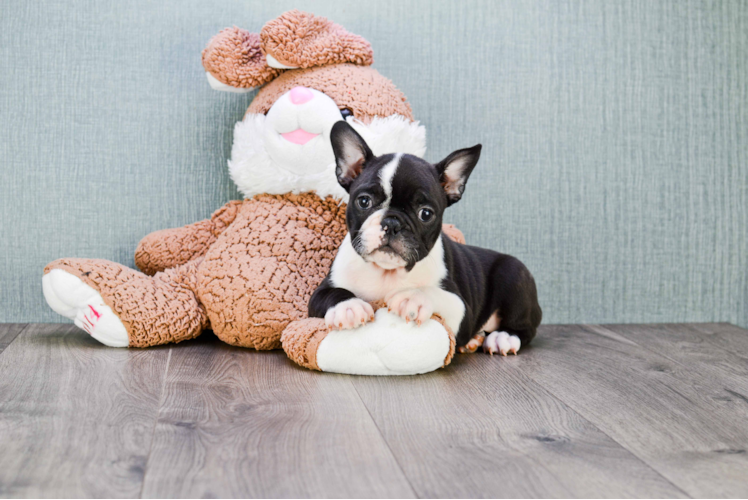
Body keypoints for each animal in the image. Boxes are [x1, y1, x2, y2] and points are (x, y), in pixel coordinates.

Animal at [306, 121, 540, 356]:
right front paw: (348, 306)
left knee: (525, 327)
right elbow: (332, 293)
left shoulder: (463, 309)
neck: (387, 272)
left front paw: (412, 296)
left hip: (514, 273)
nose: (392, 223)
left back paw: (504, 337)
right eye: (364, 201)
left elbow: (436, 294)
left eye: (425, 214)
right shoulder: (321, 292)